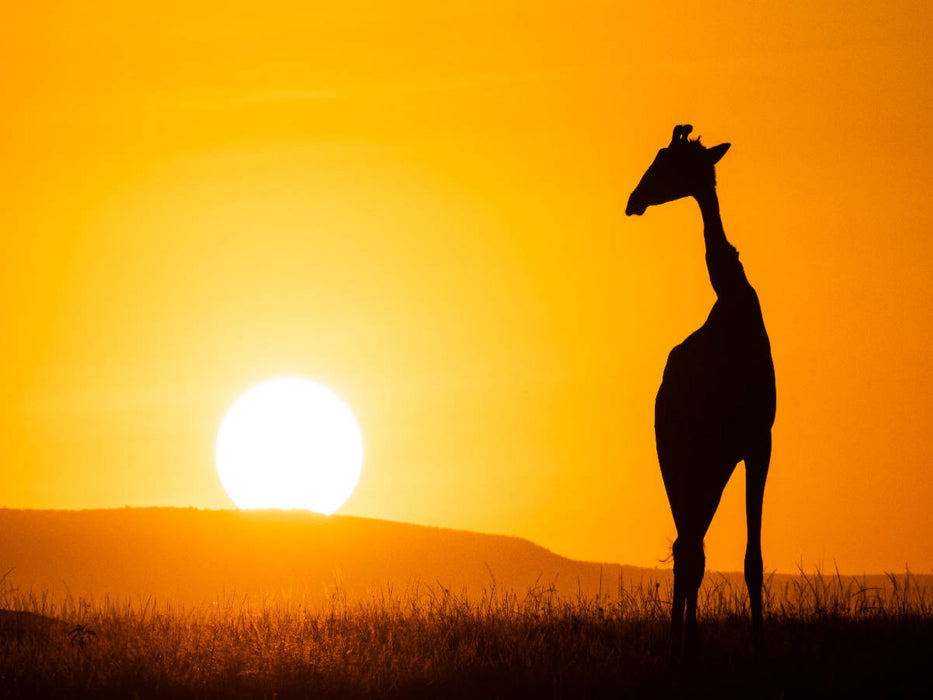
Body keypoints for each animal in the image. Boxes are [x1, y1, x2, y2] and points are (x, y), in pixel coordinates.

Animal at [626, 125, 776, 662]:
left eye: (668, 162)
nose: (634, 200)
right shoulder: (738, 444)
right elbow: (725, 555)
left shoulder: (756, 443)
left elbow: (751, 558)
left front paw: (758, 648)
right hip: (676, 454)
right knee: (686, 544)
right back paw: (679, 648)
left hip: (704, 462)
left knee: (692, 543)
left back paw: (688, 645)